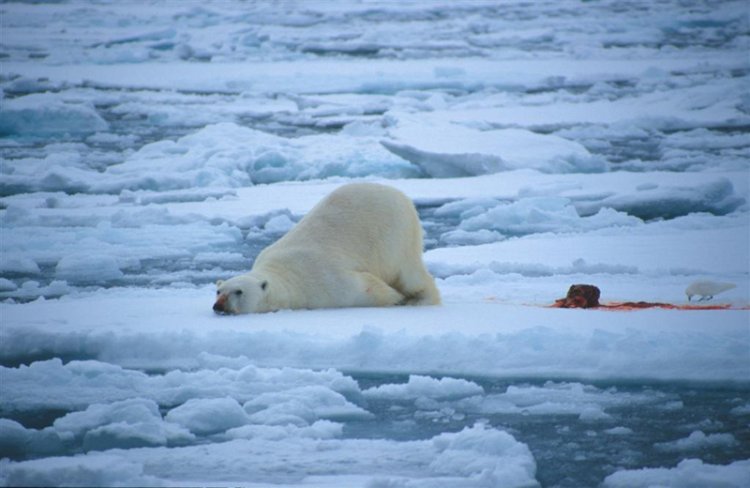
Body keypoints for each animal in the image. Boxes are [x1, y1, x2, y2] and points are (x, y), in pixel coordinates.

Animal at [213, 181, 440, 314]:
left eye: (239, 291)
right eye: (218, 291)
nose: (219, 305)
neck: (285, 273)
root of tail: (399, 193)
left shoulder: (323, 280)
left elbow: (366, 287)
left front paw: (396, 299)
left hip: (395, 235)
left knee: (408, 272)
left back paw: (420, 300)